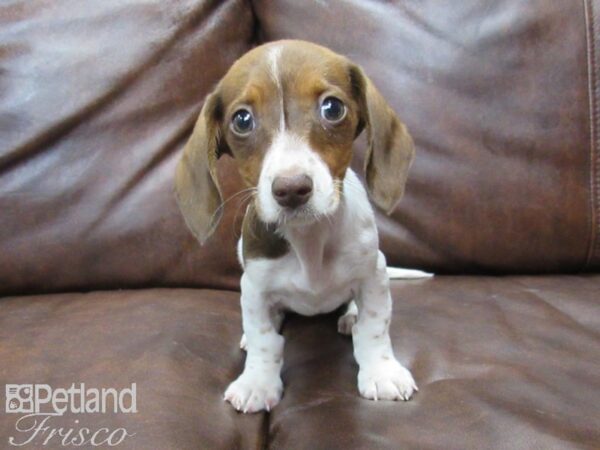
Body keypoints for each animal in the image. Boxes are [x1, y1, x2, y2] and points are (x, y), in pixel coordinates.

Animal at [173, 40, 418, 414]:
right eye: (242, 119)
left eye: (332, 108)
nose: (291, 189)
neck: (309, 239)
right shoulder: (254, 286)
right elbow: (264, 339)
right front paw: (258, 382)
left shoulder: (373, 272)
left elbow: (375, 326)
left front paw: (381, 371)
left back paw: (350, 315)